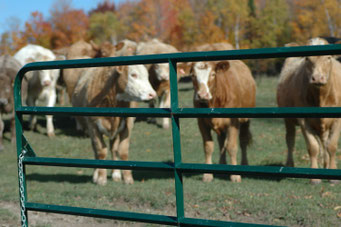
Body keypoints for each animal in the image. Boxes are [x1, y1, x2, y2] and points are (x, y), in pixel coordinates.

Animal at [274, 37, 340, 184]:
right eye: (307, 58)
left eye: (328, 57)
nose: (317, 78)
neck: (321, 97)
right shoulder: (303, 119)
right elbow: (313, 147)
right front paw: (314, 177)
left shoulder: (338, 120)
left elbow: (331, 146)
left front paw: (333, 175)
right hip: (288, 120)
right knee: (290, 140)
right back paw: (290, 167)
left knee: (324, 143)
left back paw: (326, 166)